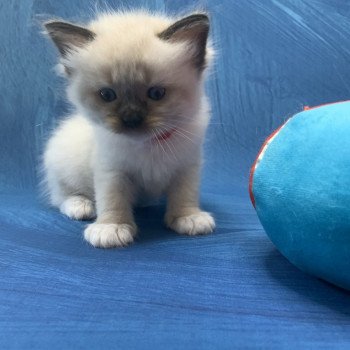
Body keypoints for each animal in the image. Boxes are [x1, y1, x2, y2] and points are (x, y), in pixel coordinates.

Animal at [42, 11, 215, 249]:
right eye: (107, 95)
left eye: (157, 93)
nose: (131, 119)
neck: (149, 144)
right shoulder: (112, 171)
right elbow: (113, 200)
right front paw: (111, 228)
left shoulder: (186, 167)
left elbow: (185, 195)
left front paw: (188, 218)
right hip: (65, 167)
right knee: (61, 197)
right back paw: (81, 206)